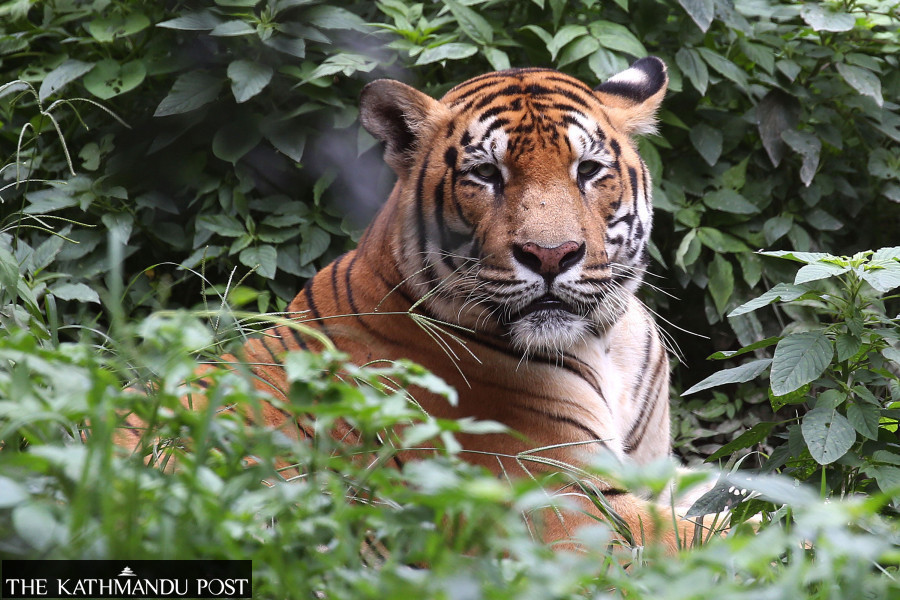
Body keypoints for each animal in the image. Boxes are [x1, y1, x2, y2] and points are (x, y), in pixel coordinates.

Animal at [124, 56, 706, 552]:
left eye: (586, 170)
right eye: (486, 175)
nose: (550, 255)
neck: (606, 342)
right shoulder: (564, 505)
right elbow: (711, 538)